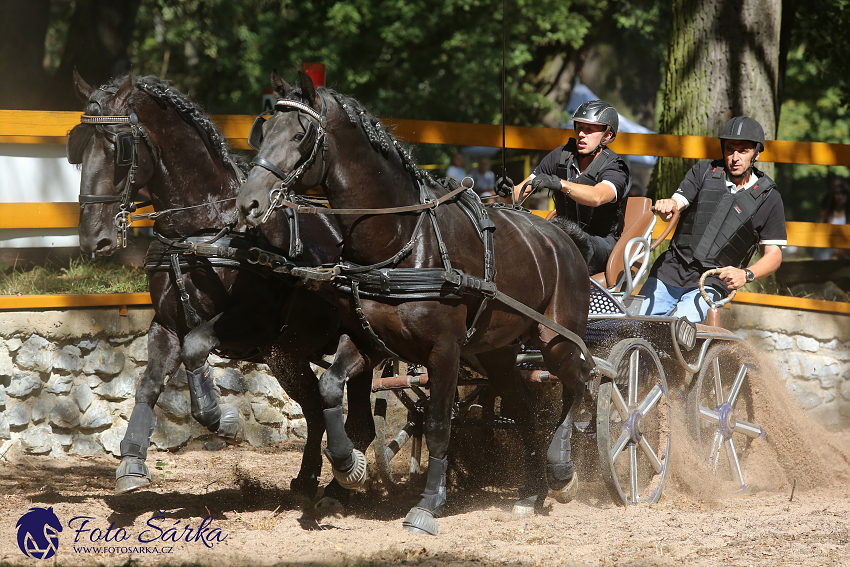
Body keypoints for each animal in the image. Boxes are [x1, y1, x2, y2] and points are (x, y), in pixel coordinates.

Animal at [66, 72, 372, 506]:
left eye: (119, 148)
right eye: (77, 148)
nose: (94, 238)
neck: (206, 228)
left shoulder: (251, 321)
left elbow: (196, 347)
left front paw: (222, 419)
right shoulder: (166, 324)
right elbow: (148, 384)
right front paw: (132, 463)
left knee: (362, 419)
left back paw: (338, 487)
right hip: (288, 355)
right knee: (316, 409)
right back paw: (307, 479)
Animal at [235, 72, 588, 536]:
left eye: (299, 135)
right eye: (264, 131)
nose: (248, 203)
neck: (402, 239)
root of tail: (561, 236)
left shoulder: (444, 351)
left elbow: (438, 424)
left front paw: (428, 504)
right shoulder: (368, 341)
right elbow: (331, 389)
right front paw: (347, 467)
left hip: (556, 339)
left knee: (579, 383)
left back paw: (562, 470)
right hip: (497, 352)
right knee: (523, 409)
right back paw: (532, 493)